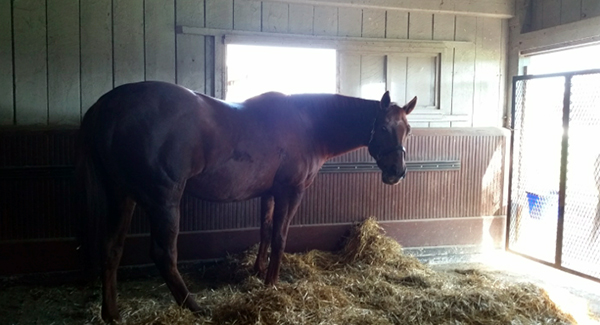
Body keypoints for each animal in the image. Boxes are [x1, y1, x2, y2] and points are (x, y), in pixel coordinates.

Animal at [76, 79, 418, 320]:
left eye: (408, 129)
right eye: (383, 127)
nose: (397, 172)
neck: (308, 124)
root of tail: (106, 108)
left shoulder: (268, 193)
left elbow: (265, 231)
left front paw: (257, 271)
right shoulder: (290, 191)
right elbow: (279, 237)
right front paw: (271, 284)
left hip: (122, 196)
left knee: (111, 250)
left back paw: (112, 313)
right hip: (163, 201)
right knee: (164, 254)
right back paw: (194, 306)